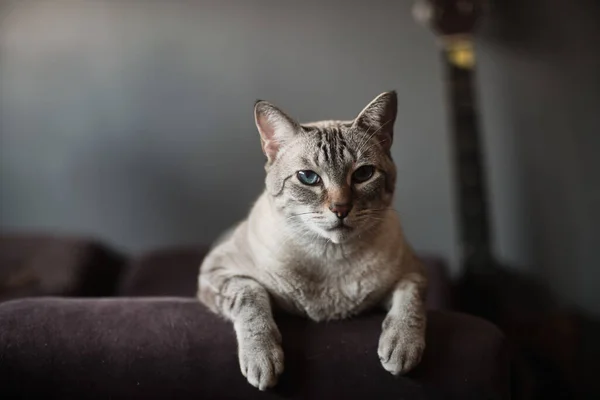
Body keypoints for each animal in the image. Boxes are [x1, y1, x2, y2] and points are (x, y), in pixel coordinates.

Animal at [197, 91, 426, 390]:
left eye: (363, 174)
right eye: (308, 178)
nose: (341, 209)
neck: (330, 255)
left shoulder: (413, 273)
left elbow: (410, 301)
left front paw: (401, 348)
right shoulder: (218, 272)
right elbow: (251, 296)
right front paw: (262, 361)